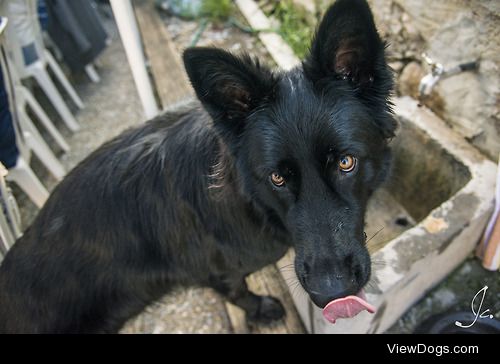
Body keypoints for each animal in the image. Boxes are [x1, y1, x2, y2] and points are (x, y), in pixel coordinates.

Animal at [0, 0, 396, 334]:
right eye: (277, 178)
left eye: (346, 162)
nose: (333, 292)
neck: (248, 205)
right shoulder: (216, 271)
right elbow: (237, 291)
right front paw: (260, 309)